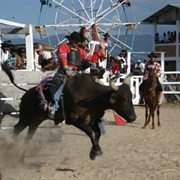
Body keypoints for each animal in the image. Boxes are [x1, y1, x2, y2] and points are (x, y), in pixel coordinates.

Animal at [1, 64, 136, 161]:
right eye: (123, 98)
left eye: (131, 96)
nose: (133, 117)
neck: (92, 97)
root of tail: (25, 94)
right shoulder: (72, 119)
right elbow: (90, 132)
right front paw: (96, 150)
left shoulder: (92, 120)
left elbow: (97, 133)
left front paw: (93, 152)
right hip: (25, 118)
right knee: (17, 129)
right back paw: (10, 148)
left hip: (35, 121)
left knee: (28, 137)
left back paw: (21, 159)